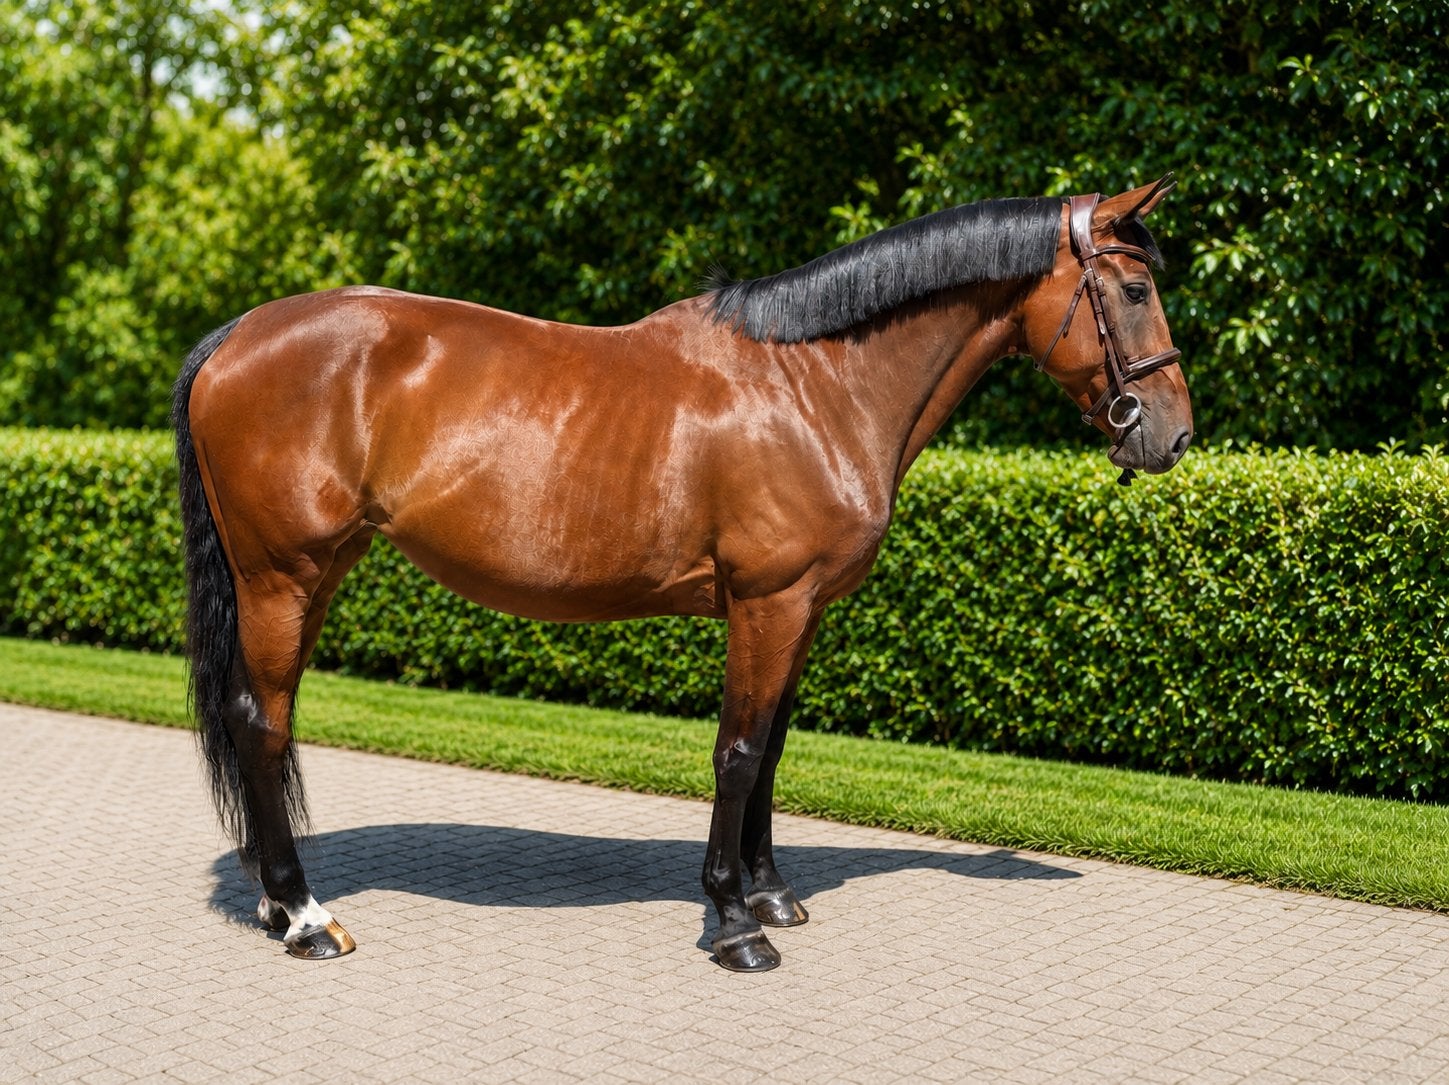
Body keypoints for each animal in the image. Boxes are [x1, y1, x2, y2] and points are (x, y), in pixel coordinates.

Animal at [173, 176, 1191, 972]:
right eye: (1134, 286)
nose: (1172, 435)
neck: (812, 384)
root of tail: (236, 335)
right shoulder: (766, 604)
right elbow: (736, 753)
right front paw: (736, 923)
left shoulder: (801, 610)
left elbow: (771, 748)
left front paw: (771, 893)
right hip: (281, 578)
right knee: (262, 724)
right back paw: (306, 917)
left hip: (312, 577)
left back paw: (275, 902)